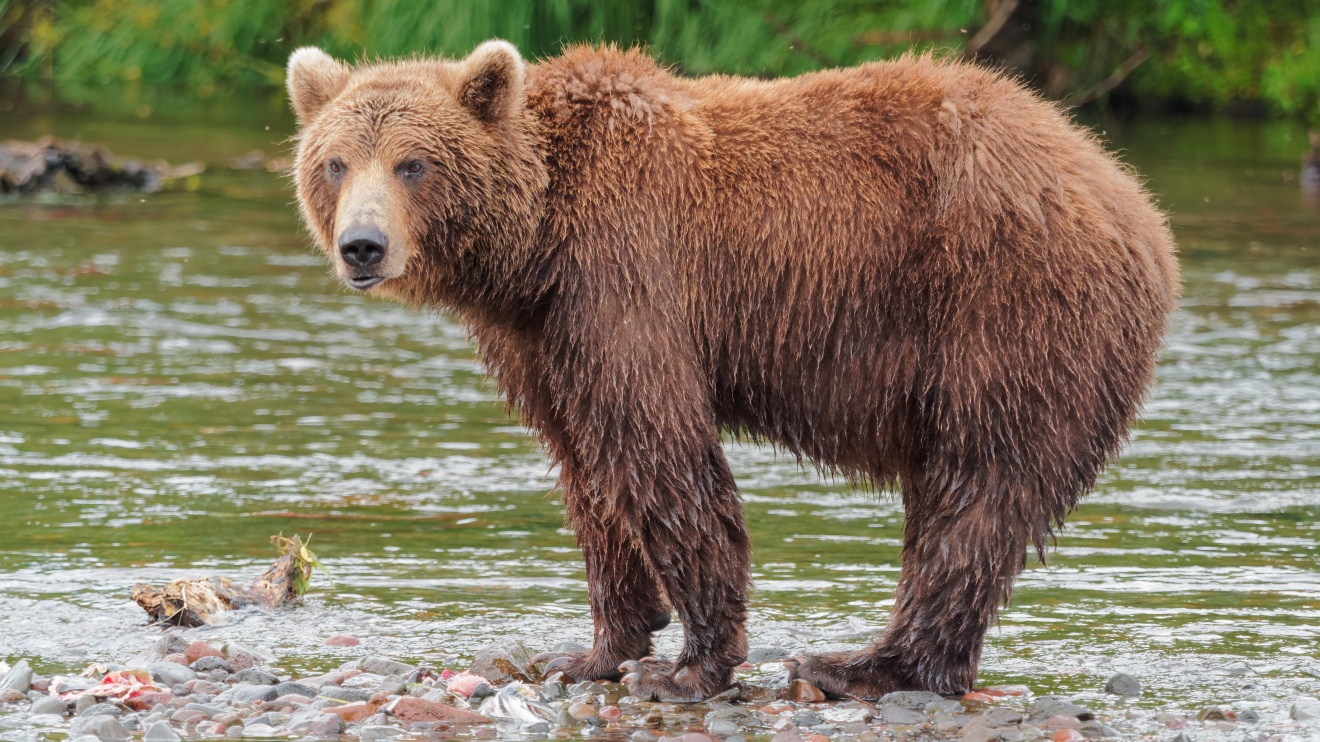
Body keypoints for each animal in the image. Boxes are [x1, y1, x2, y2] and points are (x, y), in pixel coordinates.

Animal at [286, 40, 1177, 697]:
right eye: (335, 162)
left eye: (413, 163)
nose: (362, 246)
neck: (533, 247)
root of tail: (1133, 200)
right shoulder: (543, 338)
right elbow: (586, 470)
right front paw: (594, 649)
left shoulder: (626, 273)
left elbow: (658, 451)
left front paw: (690, 666)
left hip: (1006, 310)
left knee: (976, 491)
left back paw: (865, 664)